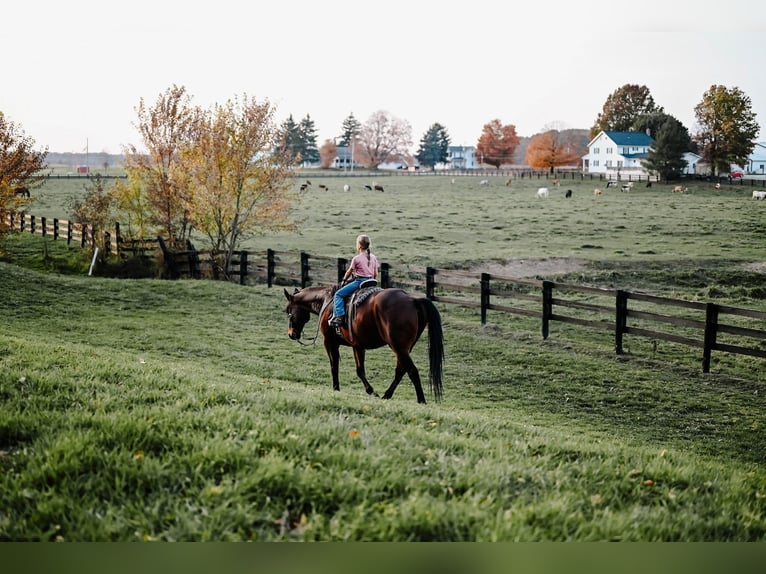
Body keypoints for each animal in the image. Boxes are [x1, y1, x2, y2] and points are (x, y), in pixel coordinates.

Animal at [284, 284, 448, 402]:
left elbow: (334, 364)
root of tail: (412, 300)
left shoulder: (329, 342)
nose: (291, 334)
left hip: (398, 347)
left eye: (288, 311)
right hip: (404, 348)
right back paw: (387, 395)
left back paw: (421, 400)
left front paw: (336, 388)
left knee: (412, 371)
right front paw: (371, 391)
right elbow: (360, 370)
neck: (327, 301)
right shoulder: (358, 346)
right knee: (401, 370)